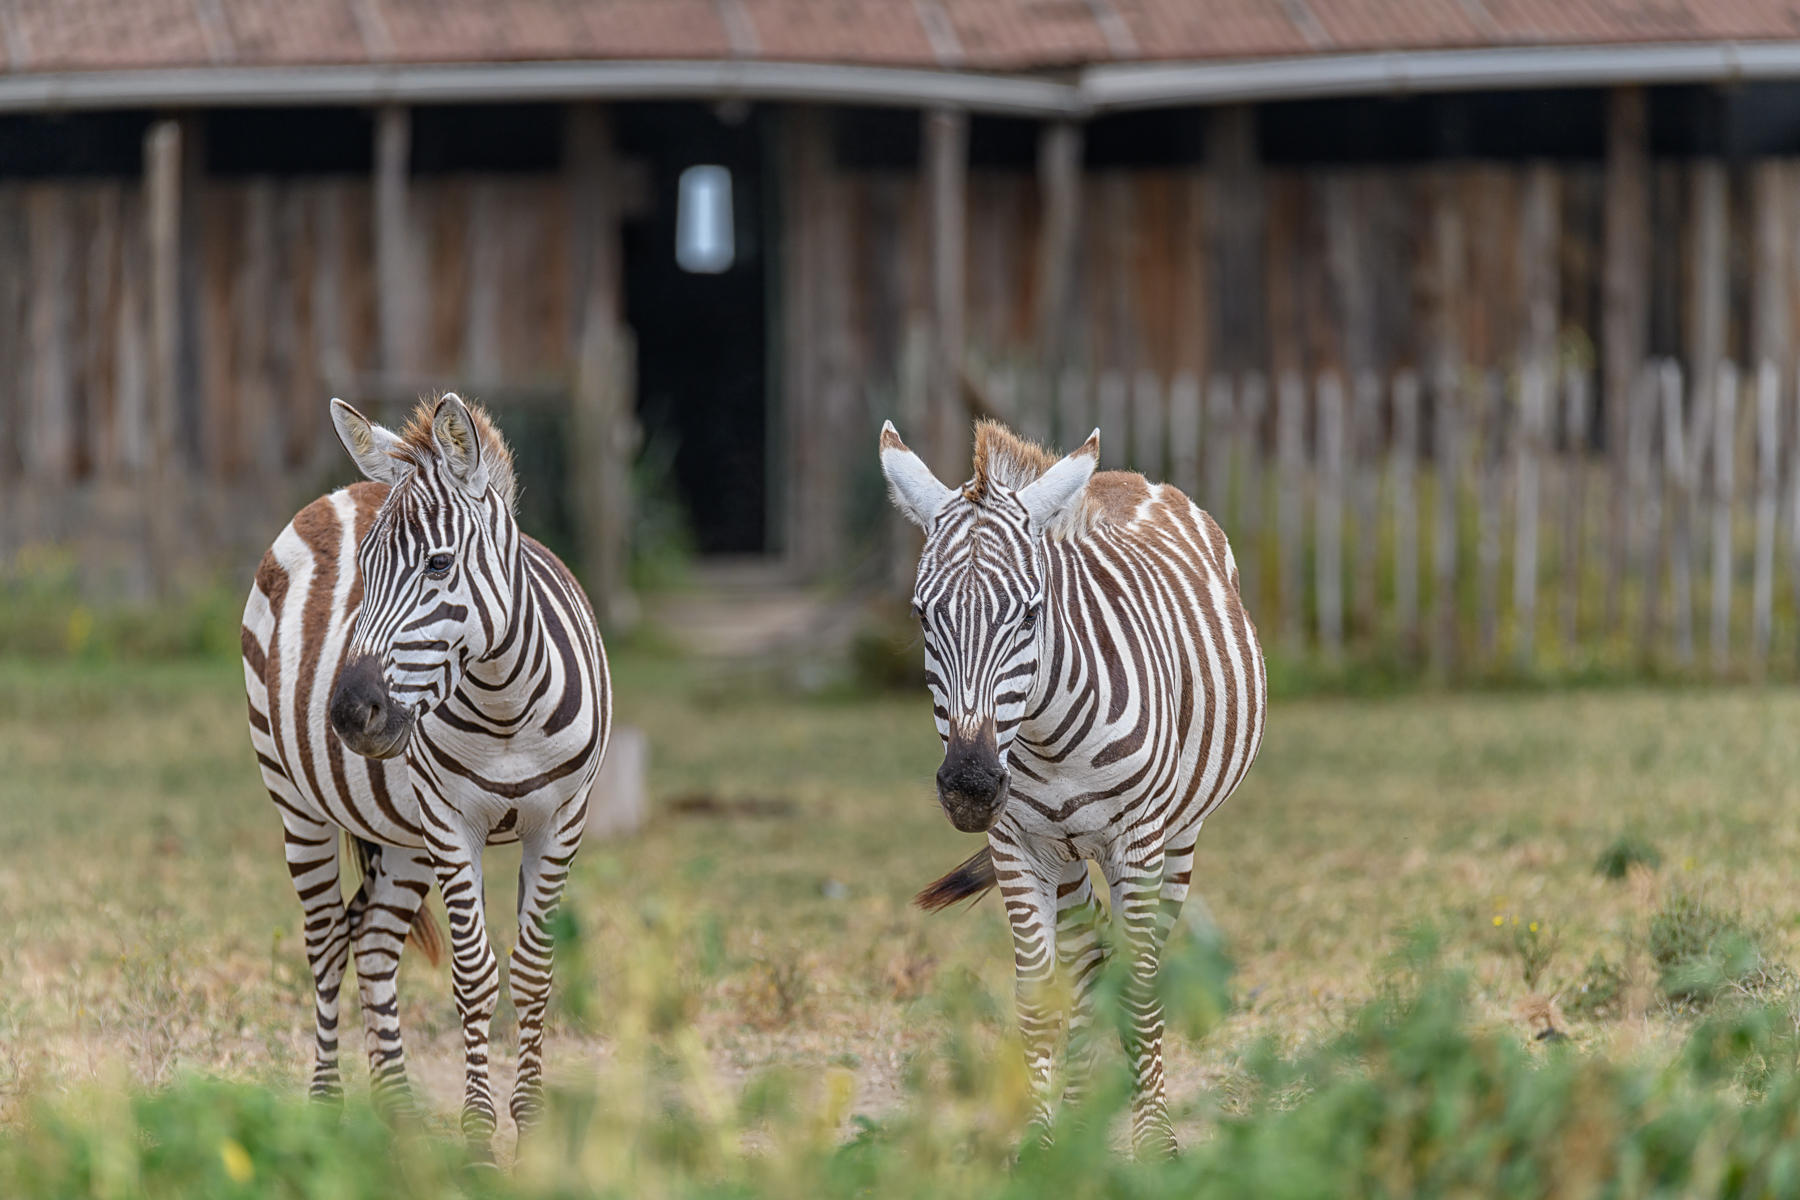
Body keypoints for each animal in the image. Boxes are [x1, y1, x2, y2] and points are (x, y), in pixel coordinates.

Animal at [239, 395, 612, 1165]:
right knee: (327, 939)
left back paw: (399, 1116)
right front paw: (477, 1132)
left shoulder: (561, 821)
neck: (506, 706)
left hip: (403, 835)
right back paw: (327, 1105)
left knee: (375, 941)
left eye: (440, 564)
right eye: (365, 570)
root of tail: (341, 490)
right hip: (297, 803)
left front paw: (529, 1124)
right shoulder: (452, 822)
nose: (349, 714)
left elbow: (533, 970)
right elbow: (474, 974)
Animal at [882, 417, 1267, 1158]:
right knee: (1090, 957)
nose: (971, 786)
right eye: (922, 616)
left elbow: (1140, 990)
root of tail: (1124, 476)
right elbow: (1040, 1001)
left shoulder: (1139, 844)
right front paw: (1040, 1150)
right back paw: (1084, 1117)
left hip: (1178, 840)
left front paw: (1156, 1145)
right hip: (1065, 857)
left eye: (1030, 615)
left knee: (1135, 961)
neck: (1046, 737)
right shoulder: (1016, 847)